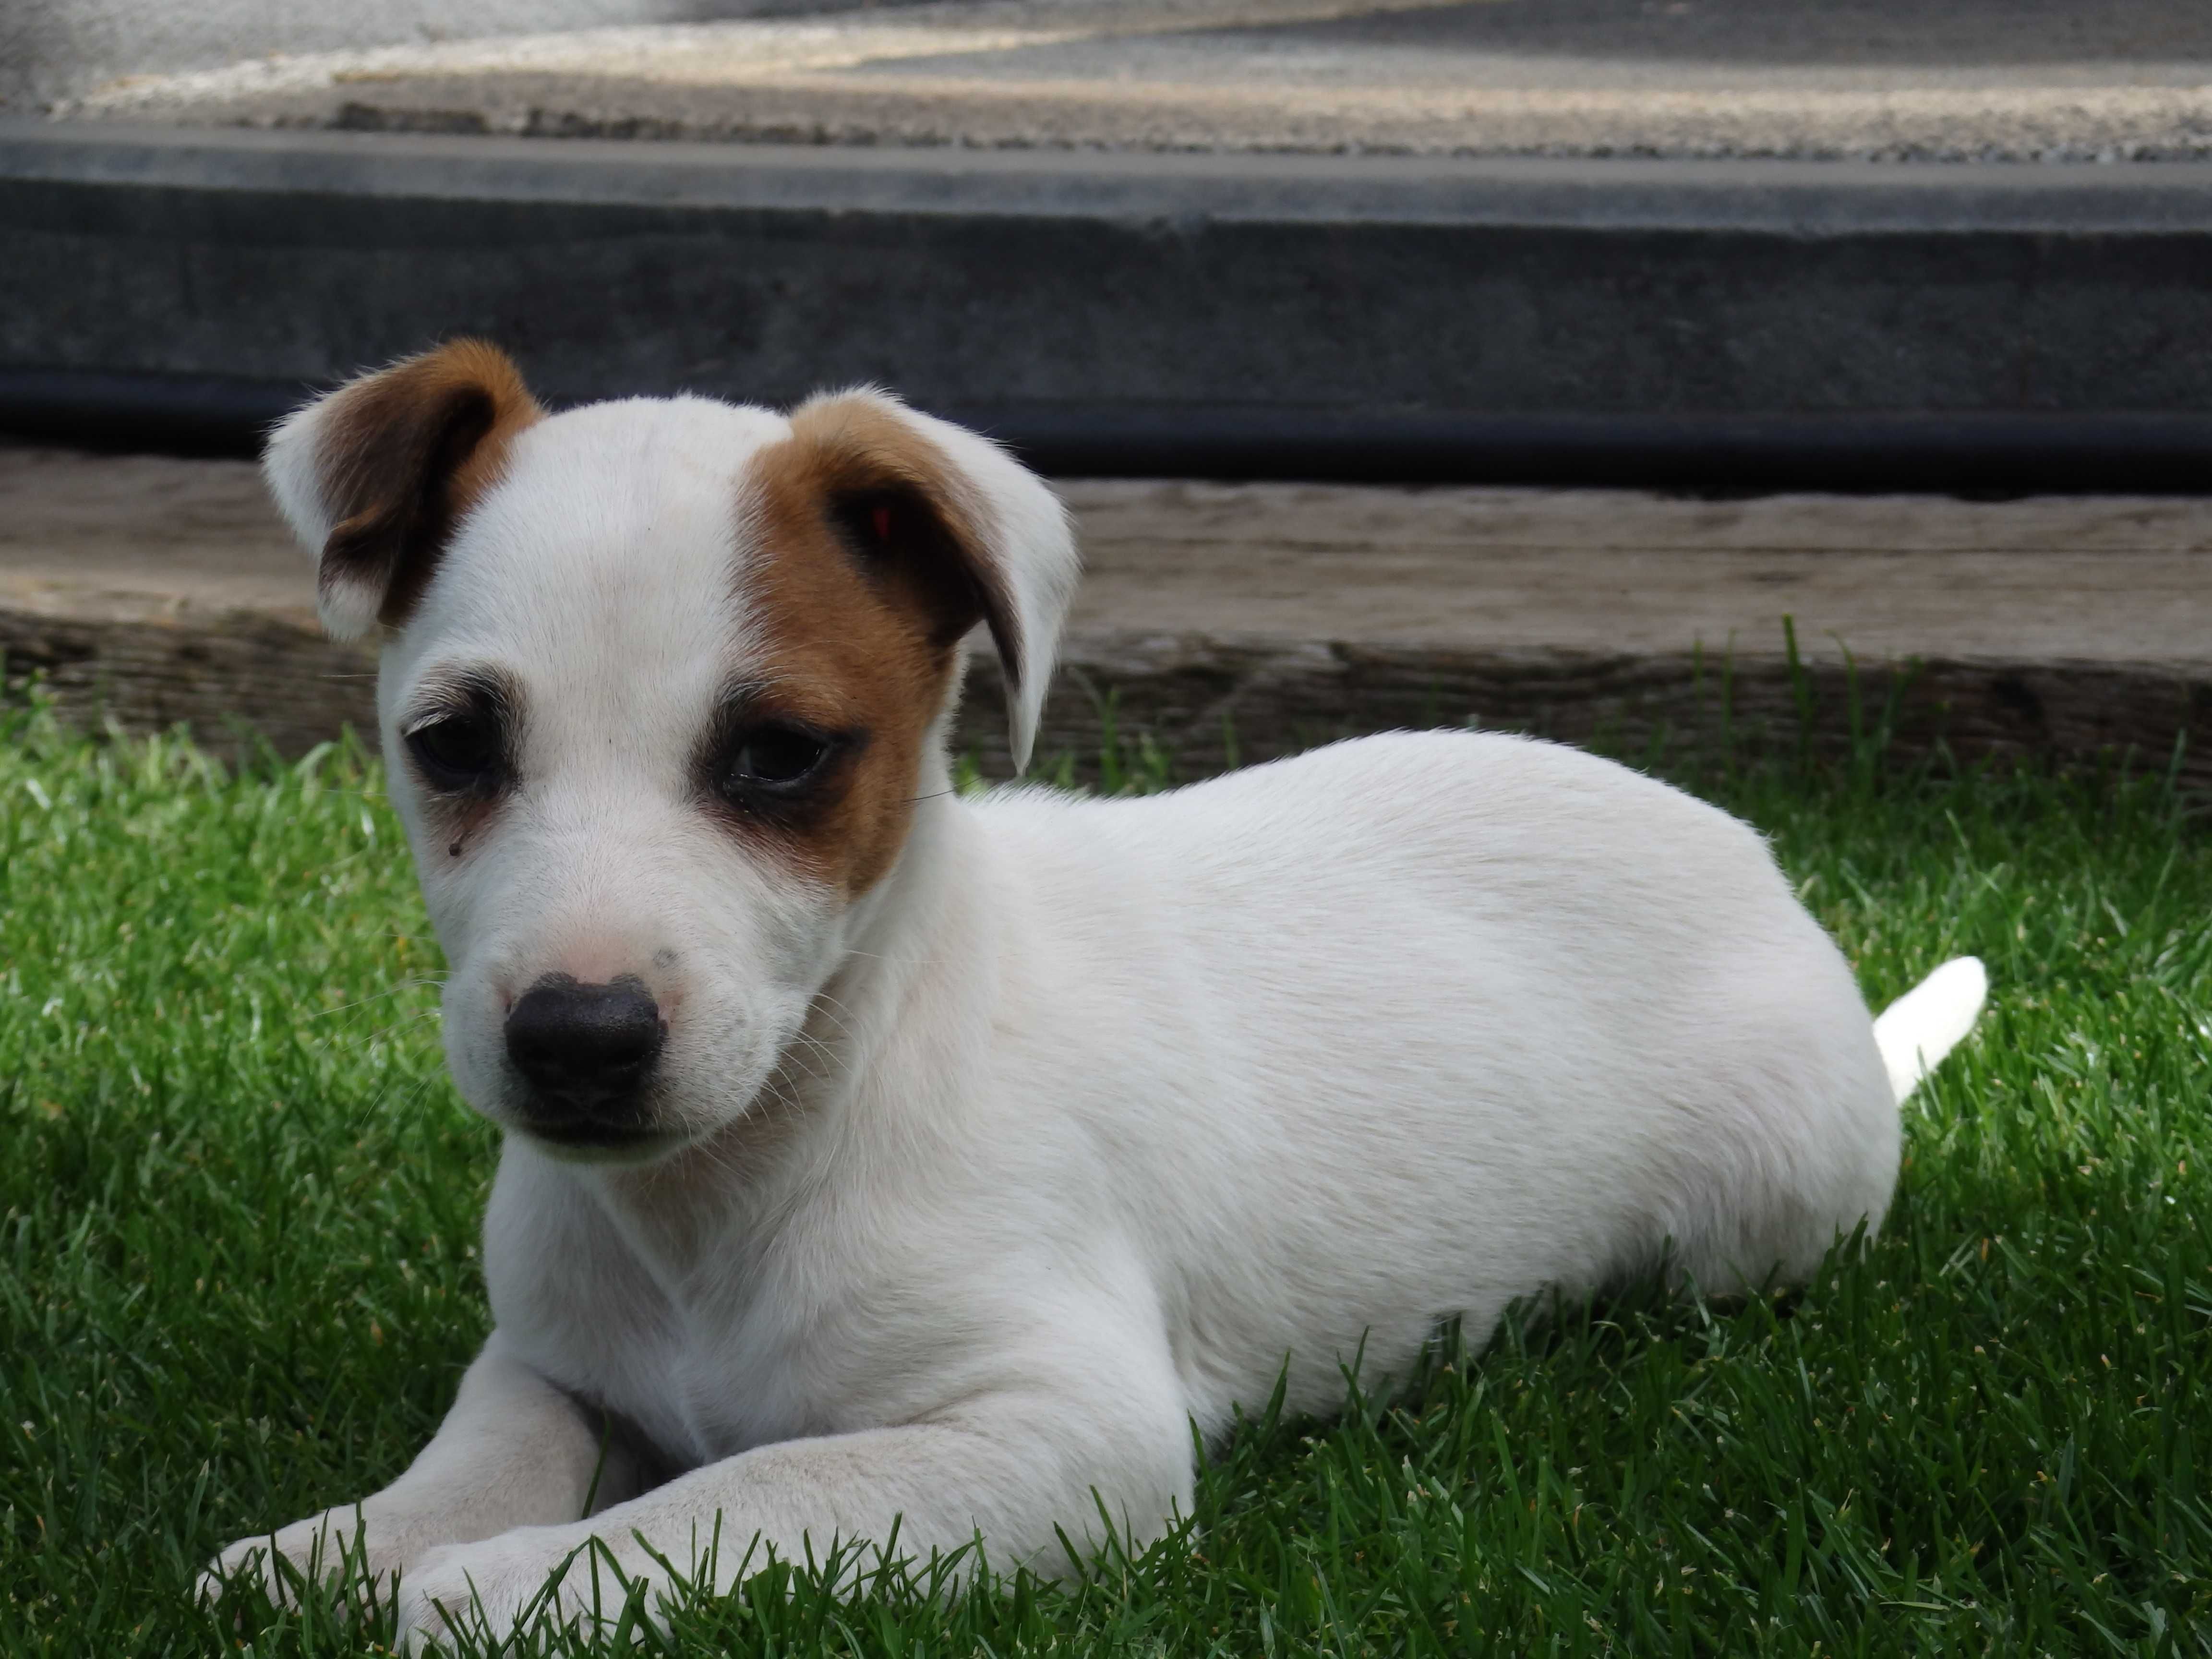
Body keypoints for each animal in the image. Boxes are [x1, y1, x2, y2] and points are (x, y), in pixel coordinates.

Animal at [208, 340, 1999, 1654]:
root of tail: (1748, 863)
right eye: (452, 745)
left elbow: (736, 1497)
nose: (578, 1040)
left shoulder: (1056, 1436)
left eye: (779, 755)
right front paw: (349, 1540)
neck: (736, 1184)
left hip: (1765, 1217)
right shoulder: (553, 1356)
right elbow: (491, 1441)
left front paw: (507, 1582)